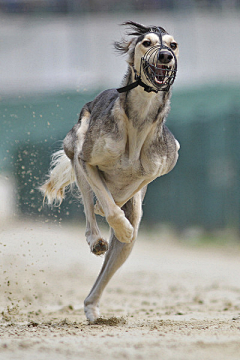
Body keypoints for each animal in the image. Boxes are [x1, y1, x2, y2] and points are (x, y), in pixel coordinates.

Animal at [39, 21, 180, 322]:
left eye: (173, 45)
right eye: (147, 43)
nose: (165, 56)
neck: (138, 123)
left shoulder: (162, 163)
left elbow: (131, 187)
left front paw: (120, 218)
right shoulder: (86, 159)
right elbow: (106, 205)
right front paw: (117, 223)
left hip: (128, 233)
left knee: (110, 263)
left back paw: (93, 307)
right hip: (77, 148)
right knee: (90, 208)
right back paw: (97, 239)